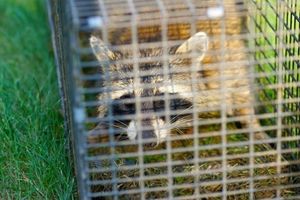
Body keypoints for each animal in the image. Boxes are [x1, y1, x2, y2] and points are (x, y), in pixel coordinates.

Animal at [88, 31, 270, 147]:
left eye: (161, 101)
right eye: (128, 103)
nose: (146, 139)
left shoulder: (222, 60)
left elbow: (238, 86)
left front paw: (252, 124)